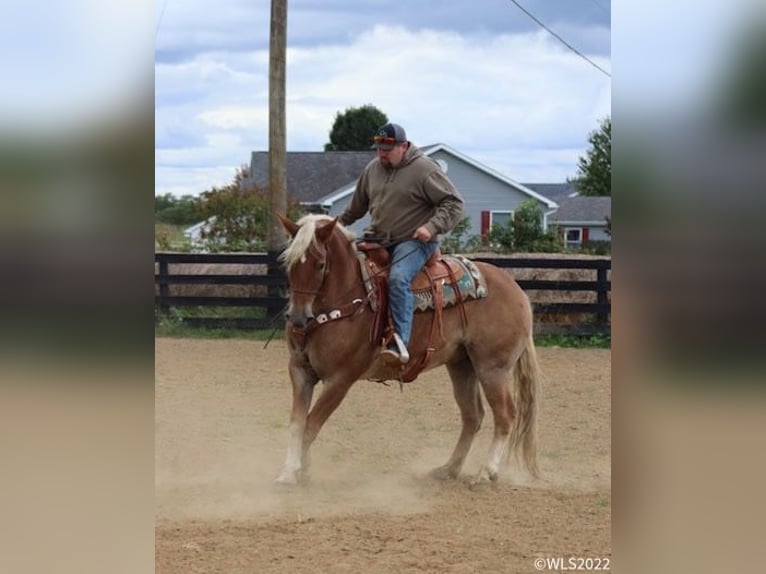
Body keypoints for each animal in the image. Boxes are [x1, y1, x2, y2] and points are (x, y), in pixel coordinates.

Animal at [272, 214, 544, 488]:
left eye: (319, 264)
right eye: (288, 263)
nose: (298, 319)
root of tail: (517, 289)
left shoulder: (340, 379)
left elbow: (311, 424)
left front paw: (300, 471)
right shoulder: (300, 371)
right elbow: (297, 424)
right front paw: (289, 471)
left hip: (492, 368)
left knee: (505, 414)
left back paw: (486, 473)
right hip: (462, 365)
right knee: (472, 416)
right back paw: (448, 468)